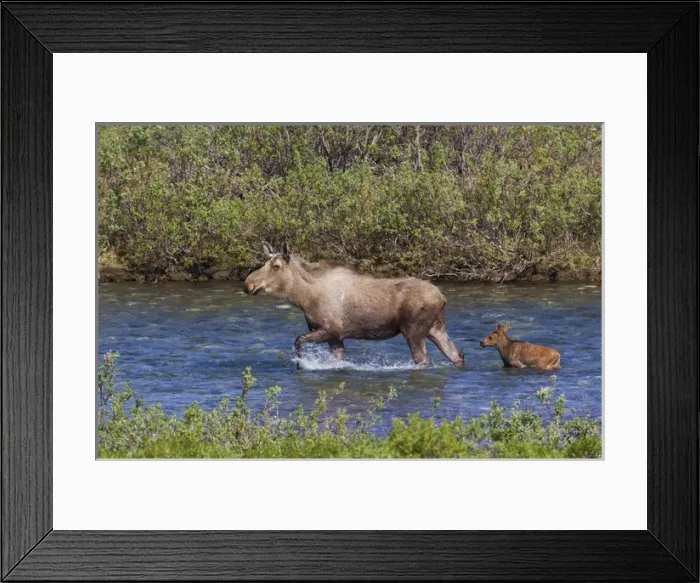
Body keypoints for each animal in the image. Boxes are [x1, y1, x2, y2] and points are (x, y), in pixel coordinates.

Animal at [244, 242, 465, 367]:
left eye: (276, 266)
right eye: (265, 263)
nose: (248, 284)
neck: (303, 298)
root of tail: (442, 298)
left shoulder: (331, 329)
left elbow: (298, 341)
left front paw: (301, 364)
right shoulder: (335, 338)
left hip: (414, 331)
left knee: (424, 361)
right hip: (435, 328)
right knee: (457, 355)